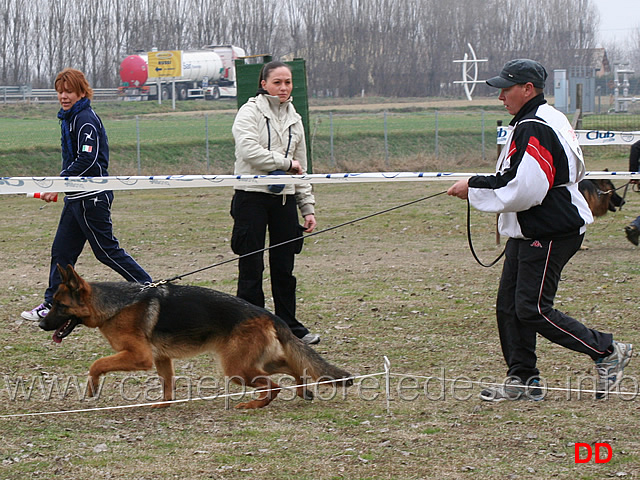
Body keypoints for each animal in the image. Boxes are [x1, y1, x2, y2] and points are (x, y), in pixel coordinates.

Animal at [38, 266, 356, 408]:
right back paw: (303, 392)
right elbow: (167, 384)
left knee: (274, 385)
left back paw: (253, 405)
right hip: (257, 362)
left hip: (237, 368)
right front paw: (164, 405)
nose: (41, 324)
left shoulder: (139, 357)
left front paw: (92, 388)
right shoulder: (161, 359)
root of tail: (270, 315)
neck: (112, 305)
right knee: (294, 368)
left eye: (59, 305)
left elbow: (97, 364)